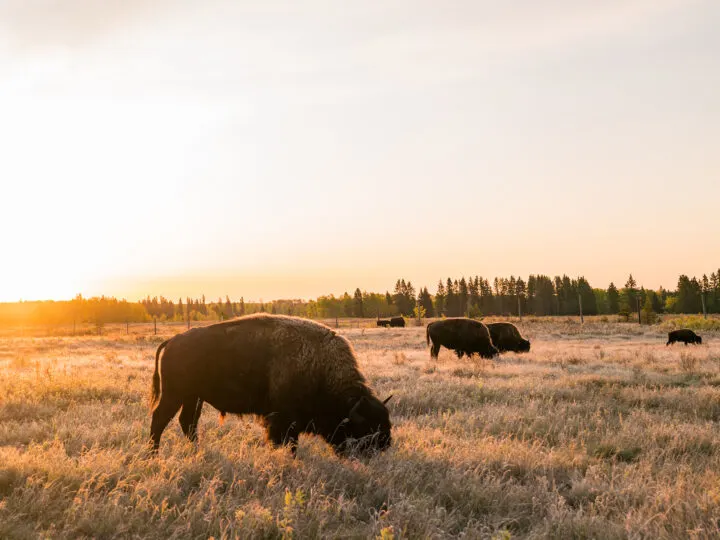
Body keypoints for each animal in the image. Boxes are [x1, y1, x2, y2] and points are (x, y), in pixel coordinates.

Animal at [148, 314, 390, 458]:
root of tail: (172, 341)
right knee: (160, 418)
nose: (385, 446)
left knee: (187, 422)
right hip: (174, 394)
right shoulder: (282, 420)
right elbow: (285, 442)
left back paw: (196, 451)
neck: (321, 368)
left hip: (193, 397)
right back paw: (153, 454)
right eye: (366, 429)